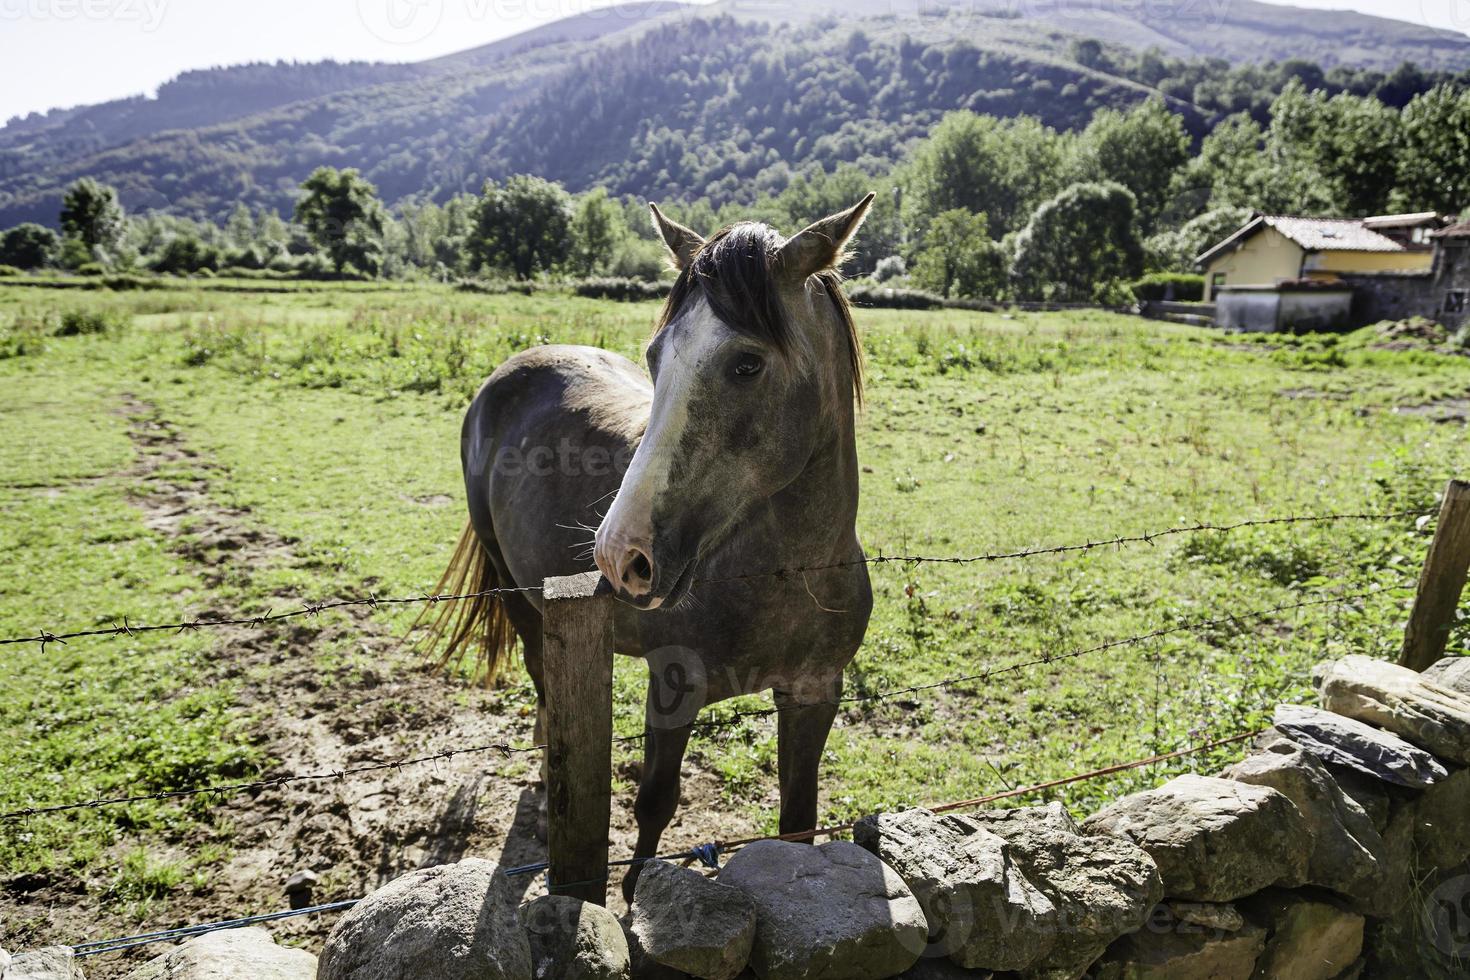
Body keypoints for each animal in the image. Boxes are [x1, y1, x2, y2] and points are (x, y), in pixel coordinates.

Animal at [426, 193, 876, 905]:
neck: (788, 572)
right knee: (541, 673)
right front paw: (635, 895)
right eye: (656, 355)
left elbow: (797, 822)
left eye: (747, 363)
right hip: (517, 592)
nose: (619, 556)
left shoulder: (814, 694)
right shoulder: (673, 687)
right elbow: (656, 804)